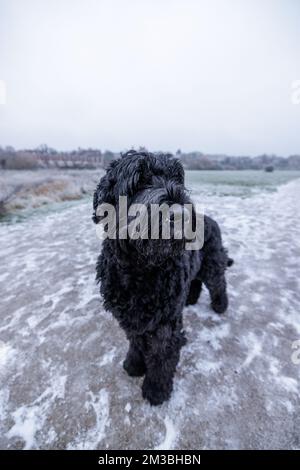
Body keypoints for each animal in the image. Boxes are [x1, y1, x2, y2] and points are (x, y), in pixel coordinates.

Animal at [92, 150, 233, 404]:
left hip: (213, 264)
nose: (179, 214)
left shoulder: (165, 323)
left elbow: (162, 355)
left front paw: (156, 389)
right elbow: (136, 341)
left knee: (219, 284)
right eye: (139, 181)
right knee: (195, 282)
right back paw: (191, 299)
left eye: (177, 178)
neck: (140, 270)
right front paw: (134, 364)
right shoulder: (130, 318)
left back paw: (220, 306)